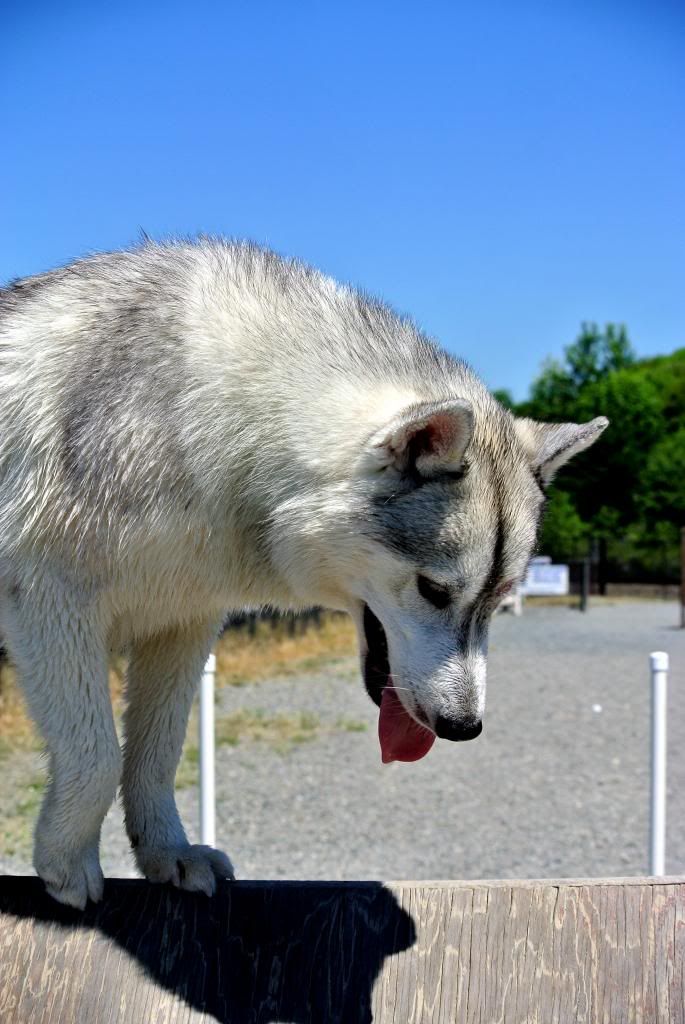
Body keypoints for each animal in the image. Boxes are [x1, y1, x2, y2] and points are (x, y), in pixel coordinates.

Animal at [1, 241, 610, 913]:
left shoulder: (181, 626)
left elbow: (156, 755)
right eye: (433, 591)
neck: (217, 420)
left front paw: (167, 854)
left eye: (500, 600)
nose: (464, 728)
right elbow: (97, 756)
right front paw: (65, 863)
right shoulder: (52, 605)